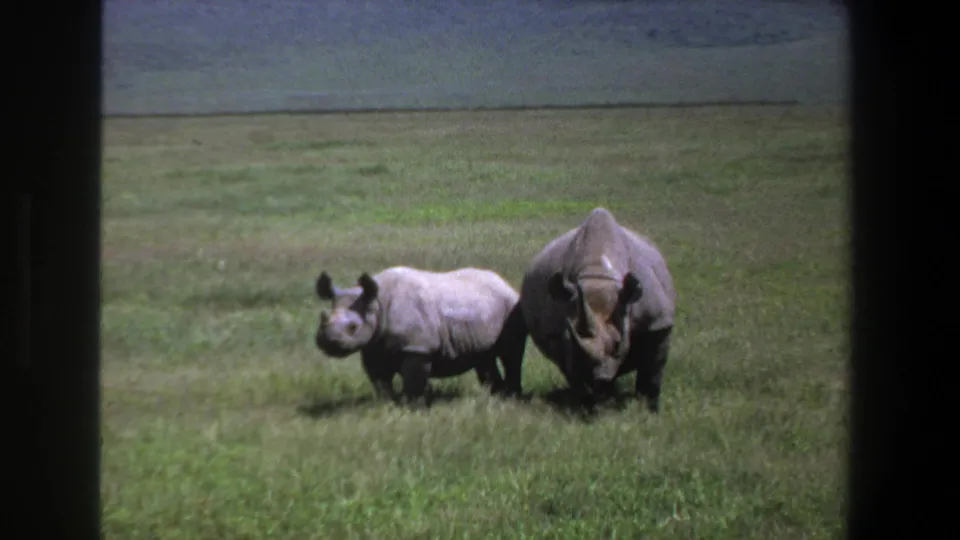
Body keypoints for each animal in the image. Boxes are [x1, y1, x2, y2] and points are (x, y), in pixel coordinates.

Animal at [313, 266, 526, 407]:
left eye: (353, 327)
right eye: (322, 320)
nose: (328, 342)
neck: (377, 304)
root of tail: (504, 282)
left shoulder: (417, 347)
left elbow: (413, 378)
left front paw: (411, 406)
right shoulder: (374, 345)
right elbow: (380, 379)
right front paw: (387, 404)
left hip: (510, 305)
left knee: (511, 354)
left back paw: (511, 397)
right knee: (484, 356)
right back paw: (495, 396)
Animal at [517, 207, 677, 413]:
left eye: (617, 343)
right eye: (573, 338)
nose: (599, 377)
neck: (598, 276)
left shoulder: (657, 322)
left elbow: (653, 369)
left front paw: (650, 410)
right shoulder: (556, 331)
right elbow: (570, 368)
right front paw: (589, 406)